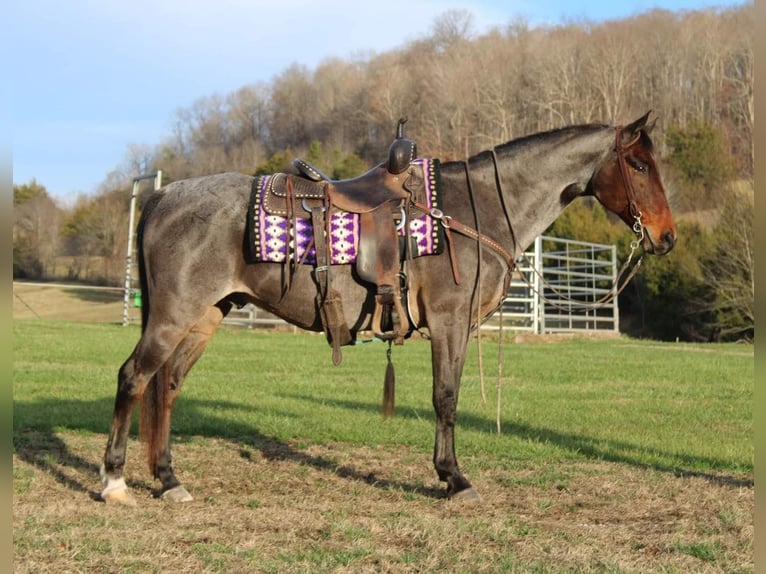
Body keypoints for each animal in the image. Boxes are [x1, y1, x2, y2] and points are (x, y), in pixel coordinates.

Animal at [100, 110, 680, 506]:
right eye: (638, 164)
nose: (667, 237)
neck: (473, 211)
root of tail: (166, 195)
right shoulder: (449, 323)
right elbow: (446, 397)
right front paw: (453, 478)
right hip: (174, 315)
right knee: (134, 377)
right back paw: (114, 480)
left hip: (206, 316)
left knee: (167, 385)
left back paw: (169, 479)